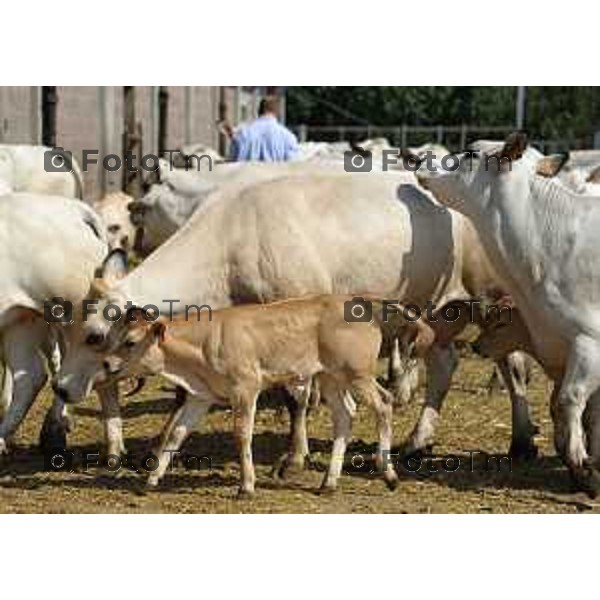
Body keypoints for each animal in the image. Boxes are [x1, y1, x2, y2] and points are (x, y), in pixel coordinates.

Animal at [418, 134, 600, 494]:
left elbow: (570, 400)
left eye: (470, 153)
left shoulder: (589, 342)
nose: (420, 163)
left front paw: (584, 468)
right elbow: (579, 410)